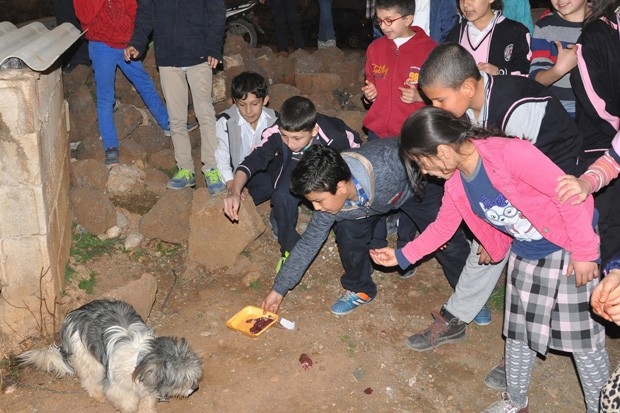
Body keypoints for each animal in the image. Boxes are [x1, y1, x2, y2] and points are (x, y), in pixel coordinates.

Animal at [19, 300, 202, 412]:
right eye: (183, 378)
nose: (195, 388)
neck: (142, 360)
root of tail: (72, 315)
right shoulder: (117, 386)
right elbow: (127, 403)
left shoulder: (148, 388)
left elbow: (147, 402)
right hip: (89, 359)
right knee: (89, 379)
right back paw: (98, 395)